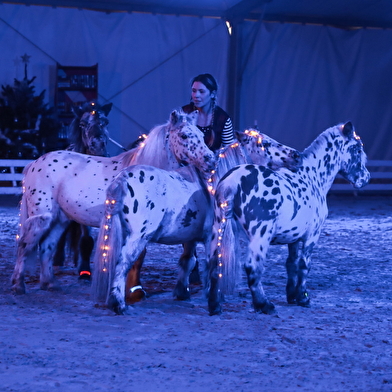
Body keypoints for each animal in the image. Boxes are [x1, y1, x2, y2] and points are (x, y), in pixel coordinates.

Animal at [92, 130, 304, 314]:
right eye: (264, 144)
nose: (297, 155)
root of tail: (122, 180)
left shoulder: (190, 237)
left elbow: (188, 261)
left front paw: (182, 293)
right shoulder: (211, 236)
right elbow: (212, 263)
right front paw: (213, 297)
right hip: (138, 236)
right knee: (123, 263)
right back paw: (119, 304)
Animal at [208, 121, 370, 316]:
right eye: (358, 149)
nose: (366, 178)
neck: (312, 176)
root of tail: (232, 182)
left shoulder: (293, 238)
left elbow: (291, 264)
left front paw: (292, 296)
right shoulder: (312, 236)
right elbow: (304, 265)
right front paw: (303, 297)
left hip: (218, 227)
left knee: (214, 262)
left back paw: (215, 305)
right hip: (260, 235)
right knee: (252, 267)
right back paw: (264, 304)